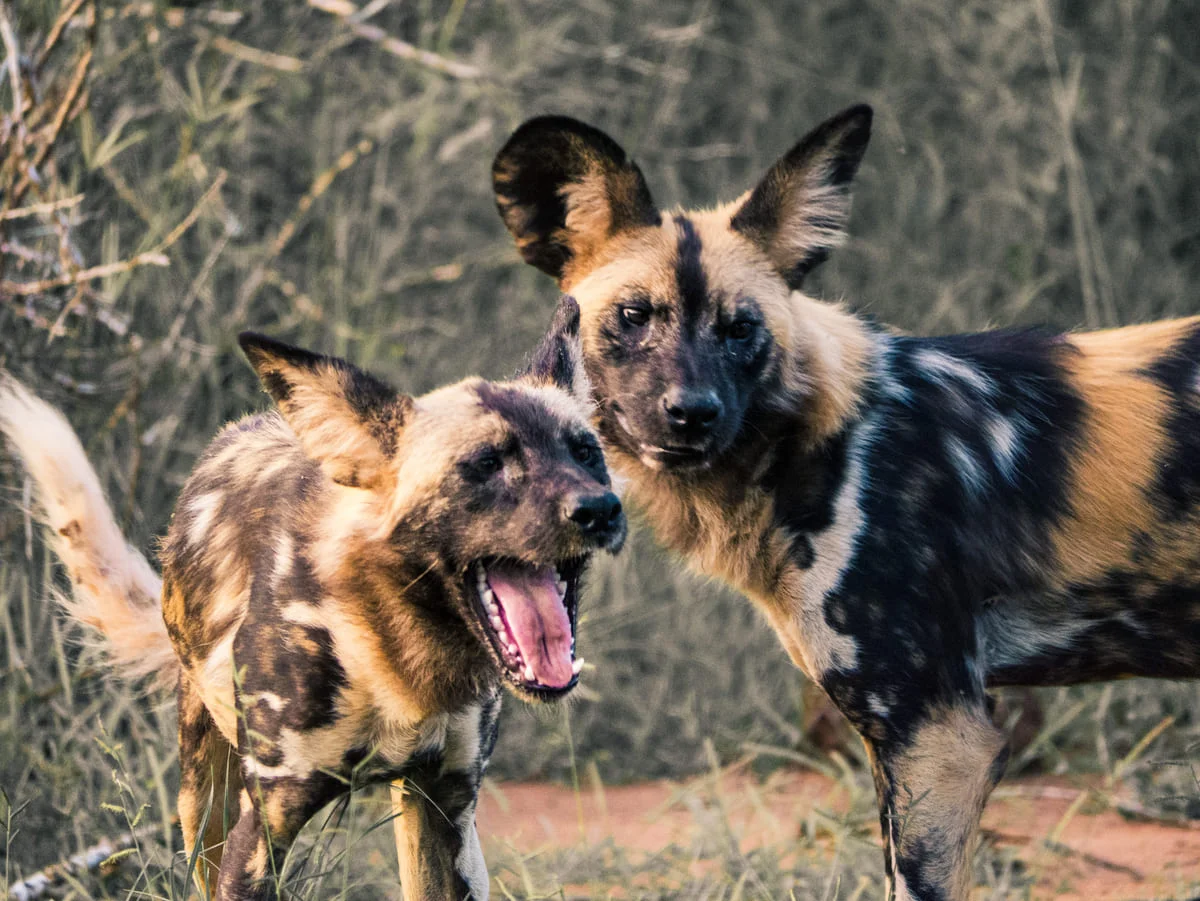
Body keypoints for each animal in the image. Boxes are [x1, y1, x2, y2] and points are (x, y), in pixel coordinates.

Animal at [0, 297, 619, 901]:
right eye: (486, 464)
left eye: (587, 453)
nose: (600, 509)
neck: (393, 654)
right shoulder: (262, 831)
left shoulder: (448, 808)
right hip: (202, 809)